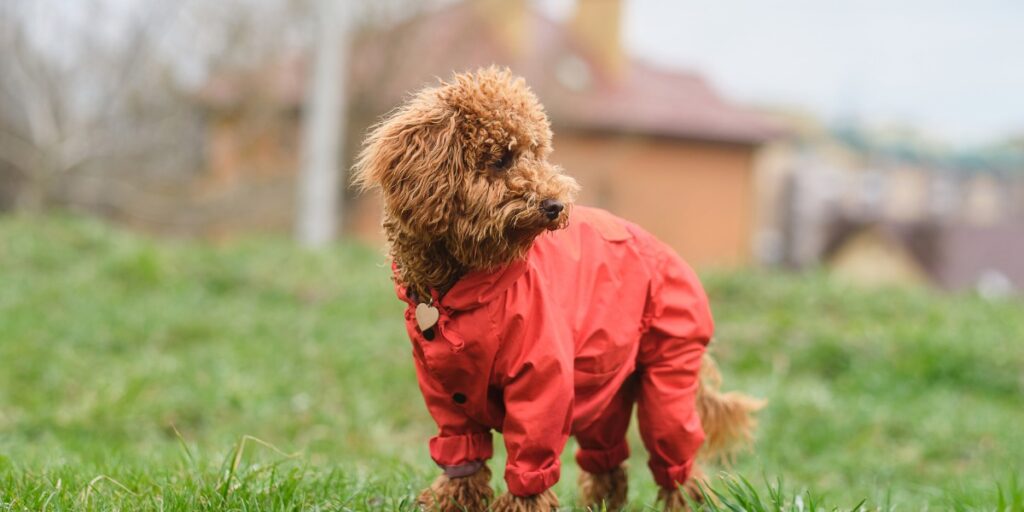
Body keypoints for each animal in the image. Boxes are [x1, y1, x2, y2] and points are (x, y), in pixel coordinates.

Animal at [352, 68, 761, 512]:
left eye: (538, 153)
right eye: (502, 158)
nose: (555, 206)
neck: (462, 292)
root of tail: (667, 252)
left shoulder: (542, 387)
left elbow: (530, 462)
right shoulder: (448, 395)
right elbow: (463, 461)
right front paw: (451, 501)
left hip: (667, 376)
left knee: (679, 464)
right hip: (605, 381)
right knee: (608, 462)